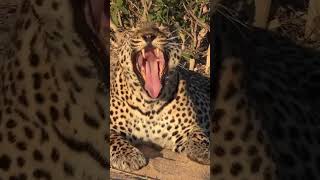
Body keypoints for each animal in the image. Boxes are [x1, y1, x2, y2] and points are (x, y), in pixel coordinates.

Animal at [110, 22, 210, 172]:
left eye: (161, 28)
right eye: (133, 30)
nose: (148, 36)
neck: (149, 104)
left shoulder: (188, 128)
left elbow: (198, 135)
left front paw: (203, 151)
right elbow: (113, 138)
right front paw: (128, 155)